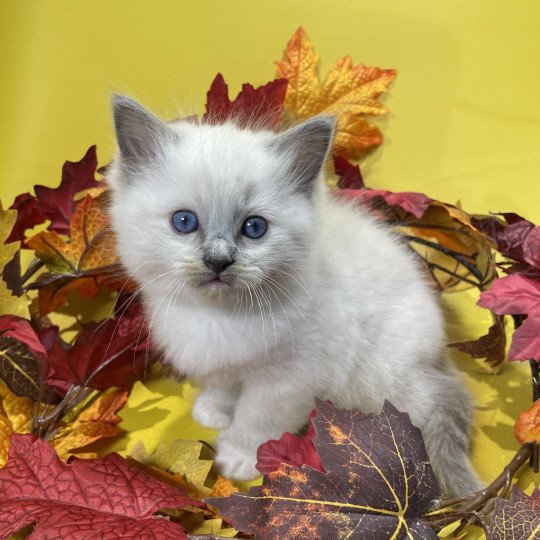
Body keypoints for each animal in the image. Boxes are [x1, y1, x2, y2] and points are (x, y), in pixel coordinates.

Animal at [107, 96, 484, 498]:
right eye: (184, 222)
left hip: (383, 379)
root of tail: (437, 354)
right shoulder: (221, 360)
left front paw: (238, 457)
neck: (218, 316)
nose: (219, 261)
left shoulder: (290, 381)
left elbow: (257, 419)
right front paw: (213, 410)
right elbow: (223, 385)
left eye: (254, 228)